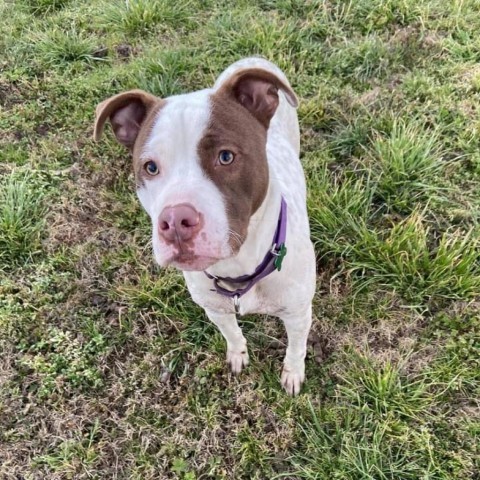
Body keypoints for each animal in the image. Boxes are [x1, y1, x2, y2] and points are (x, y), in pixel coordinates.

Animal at [95, 58, 316, 396]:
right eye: (150, 167)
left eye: (225, 156)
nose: (175, 221)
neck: (237, 269)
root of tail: (252, 57)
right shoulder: (215, 309)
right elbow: (232, 334)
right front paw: (238, 354)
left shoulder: (299, 313)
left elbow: (295, 349)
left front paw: (292, 375)